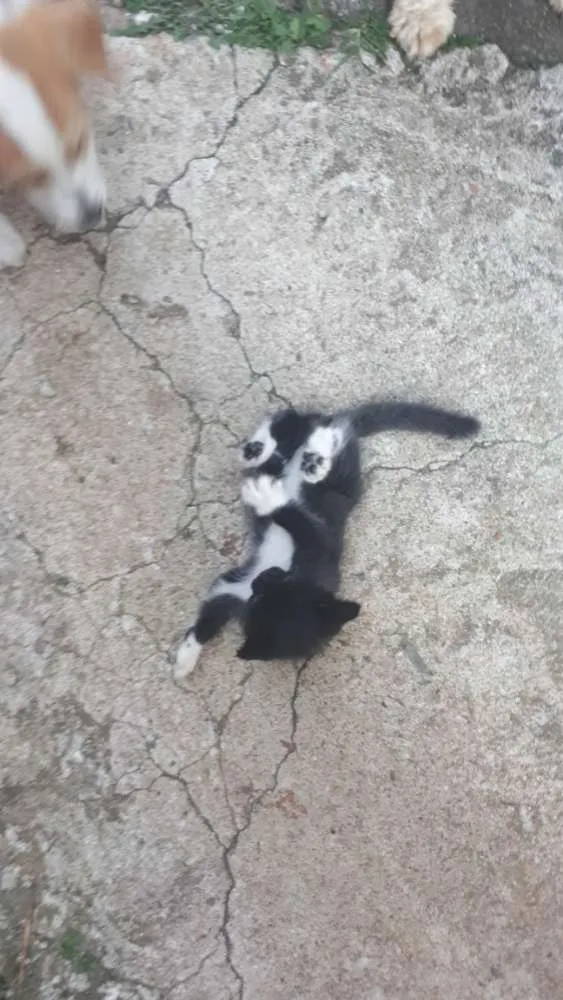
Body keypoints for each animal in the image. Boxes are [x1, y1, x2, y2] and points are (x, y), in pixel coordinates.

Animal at [176, 398, 480, 672]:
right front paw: (185, 658)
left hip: (342, 482)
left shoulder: (309, 548)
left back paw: (309, 454)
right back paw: (275, 450)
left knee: (316, 439)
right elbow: (206, 621)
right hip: (324, 462)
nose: (262, 580)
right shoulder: (245, 580)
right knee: (295, 423)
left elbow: (294, 520)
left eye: (281, 584)